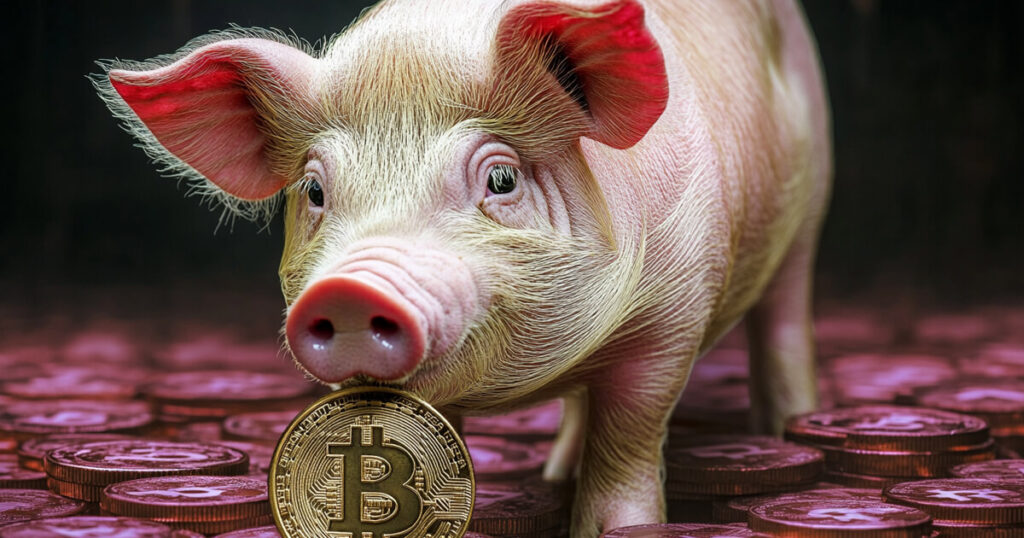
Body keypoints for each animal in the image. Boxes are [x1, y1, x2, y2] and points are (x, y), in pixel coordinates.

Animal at [94, 0, 830, 534]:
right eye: (314, 190)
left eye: (501, 179)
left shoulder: (673, 315)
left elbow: (631, 434)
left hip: (808, 211)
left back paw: (785, 429)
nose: (349, 288)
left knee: (785, 321)